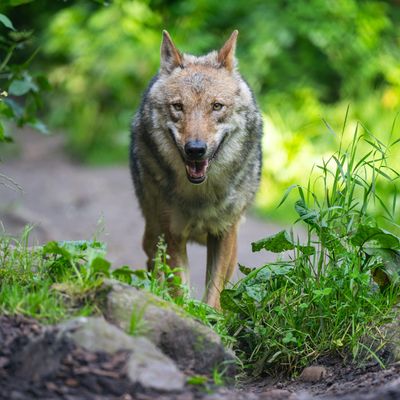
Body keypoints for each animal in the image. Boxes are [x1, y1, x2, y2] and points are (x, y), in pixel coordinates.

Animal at [130, 29, 264, 310]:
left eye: (217, 106)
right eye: (178, 106)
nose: (195, 149)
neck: (200, 195)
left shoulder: (224, 232)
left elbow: (214, 291)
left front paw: (210, 316)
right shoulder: (171, 235)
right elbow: (179, 290)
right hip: (153, 233)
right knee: (152, 266)